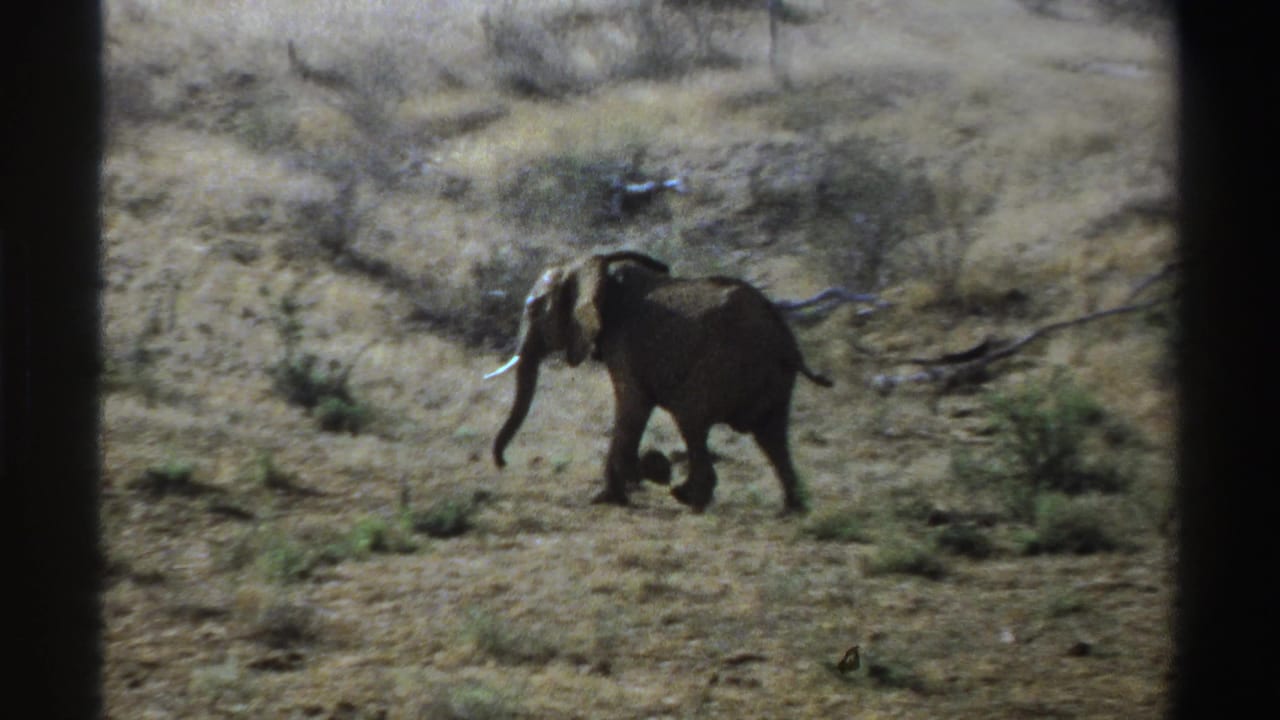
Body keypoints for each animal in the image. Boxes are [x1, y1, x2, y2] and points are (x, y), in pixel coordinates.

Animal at [486, 250, 832, 514]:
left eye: (534, 308)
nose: (504, 464)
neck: (597, 272)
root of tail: (786, 340)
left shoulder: (623, 341)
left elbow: (631, 407)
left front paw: (610, 496)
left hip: (726, 364)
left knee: (692, 418)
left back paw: (689, 498)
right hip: (773, 378)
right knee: (772, 436)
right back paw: (791, 510)